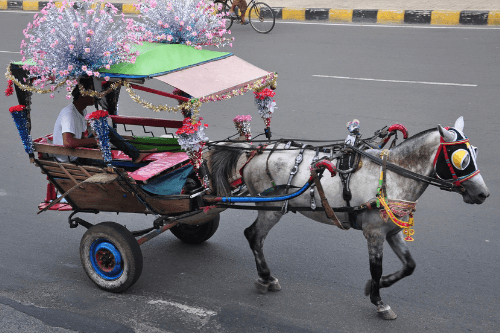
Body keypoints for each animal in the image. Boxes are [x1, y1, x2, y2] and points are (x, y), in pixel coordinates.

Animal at [205, 116, 490, 320]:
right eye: (461, 158)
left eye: (475, 152)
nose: (483, 193)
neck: (393, 175)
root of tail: (256, 152)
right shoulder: (374, 233)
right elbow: (376, 268)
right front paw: (379, 301)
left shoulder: (392, 231)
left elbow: (409, 266)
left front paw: (376, 287)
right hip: (271, 208)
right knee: (254, 236)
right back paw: (265, 277)